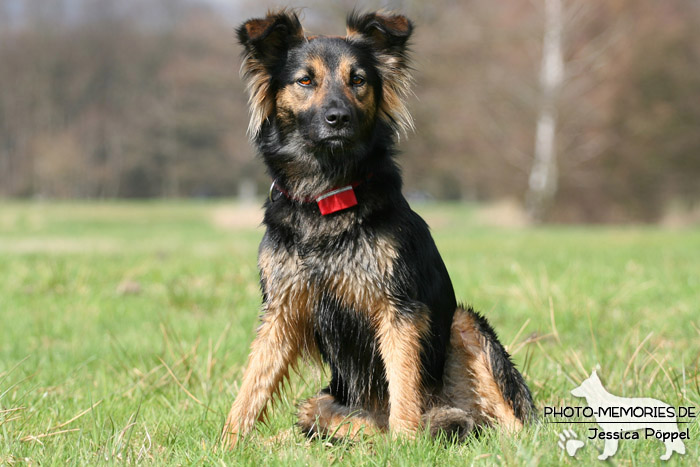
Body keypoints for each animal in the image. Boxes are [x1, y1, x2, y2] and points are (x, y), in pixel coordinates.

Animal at [221, 10, 532, 450]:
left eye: (358, 80)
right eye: (305, 81)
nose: (338, 118)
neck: (328, 193)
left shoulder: (398, 308)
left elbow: (402, 383)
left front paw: (406, 444)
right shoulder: (282, 309)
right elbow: (253, 384)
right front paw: (226, 444)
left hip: (463, 323)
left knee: (511, 422)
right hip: (317, 403)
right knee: (337, 424)